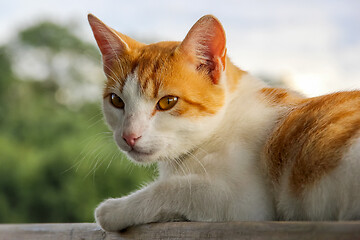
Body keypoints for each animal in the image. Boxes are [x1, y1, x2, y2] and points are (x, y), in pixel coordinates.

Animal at [87, 14, 360, 232]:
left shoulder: (244, 203)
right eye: (117, 101)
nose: (129, 136)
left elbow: (173, 188)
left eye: (167, 102)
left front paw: (114, 208)